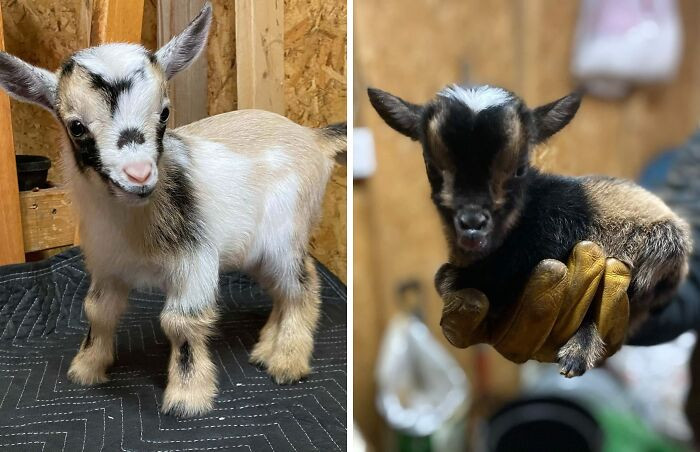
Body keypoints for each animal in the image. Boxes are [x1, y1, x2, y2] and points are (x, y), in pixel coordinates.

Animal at [0, 3, 346, 416]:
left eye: (164, 113)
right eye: (77, 126)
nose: (139, 174)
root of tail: (313, 138)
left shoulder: (194, 262)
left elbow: (181, 323)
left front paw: (187, 397)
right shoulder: (106, 266)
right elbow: (98, 311)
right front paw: (86, 369)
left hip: (285, 234)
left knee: (302, 286)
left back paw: (287, 362)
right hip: (258, 251)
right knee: (281, 290)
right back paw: (264, 350)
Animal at [368, 83, 690, 376]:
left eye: (519, 169)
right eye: (432, 166)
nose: (472, 227)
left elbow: (450, 280)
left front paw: (454, 280)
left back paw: (579, 350)